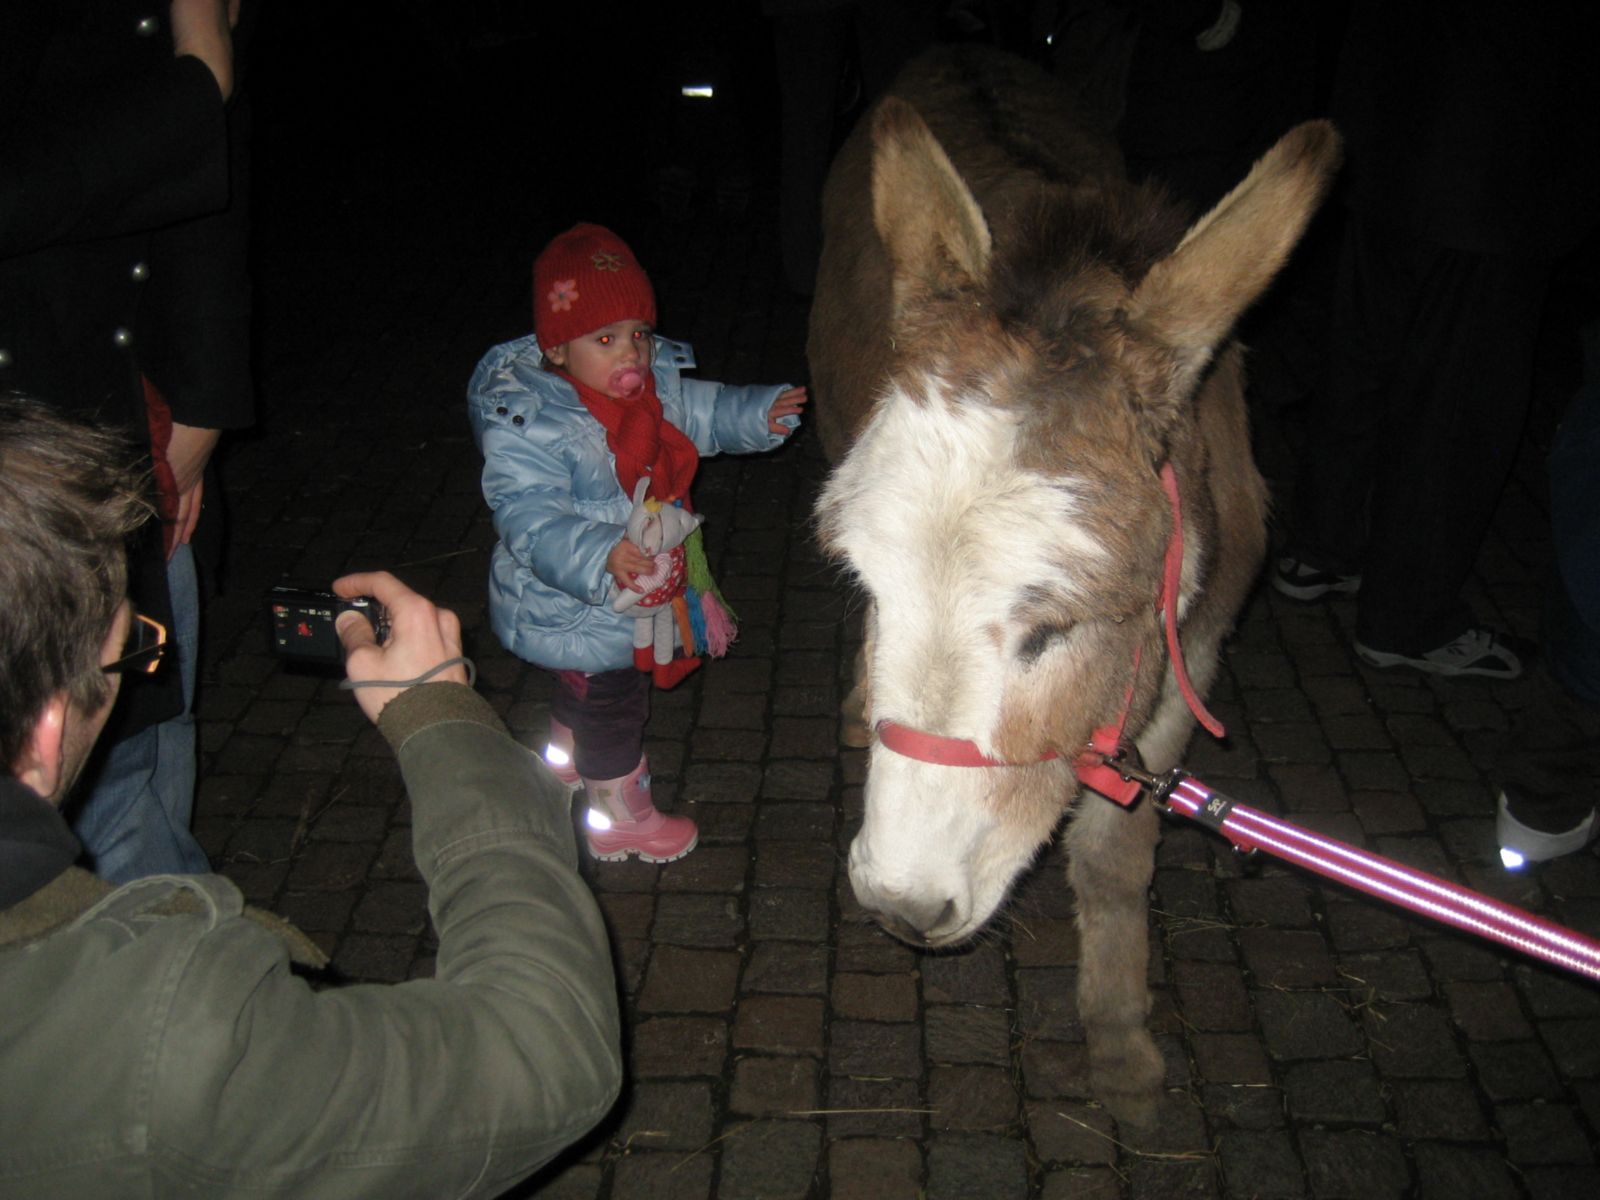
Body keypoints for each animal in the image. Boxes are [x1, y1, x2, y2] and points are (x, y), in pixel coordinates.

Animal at [808, 45, 1339, 1125]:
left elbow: (1112, 857)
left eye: (1054, 629)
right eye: (868, 587)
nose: (901, 904)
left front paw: (1119, 1043)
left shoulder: (1190, 659)